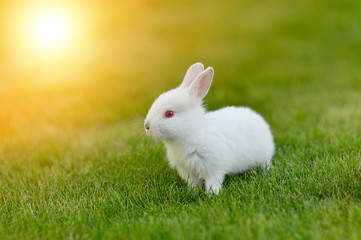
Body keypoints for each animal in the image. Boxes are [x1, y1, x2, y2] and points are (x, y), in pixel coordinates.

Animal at [143, 62, 272, 195]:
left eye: (169, 114)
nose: (147, 126)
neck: (193, 131)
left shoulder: (214, 168)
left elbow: (212, 182)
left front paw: (212, 194)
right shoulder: (188, 170)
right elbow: (193, 183)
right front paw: (192, 193)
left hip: (264, 157)